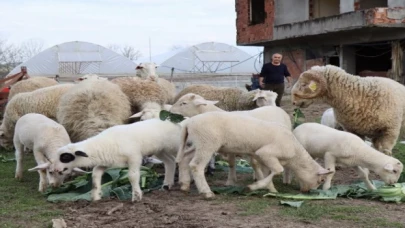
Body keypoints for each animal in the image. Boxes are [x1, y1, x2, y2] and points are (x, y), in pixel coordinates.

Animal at [53, 118, 181, 202]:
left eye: (65, 157)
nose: (56, 170)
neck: (104, 144)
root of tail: (175, 123)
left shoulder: (134, 157)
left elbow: (132, 176)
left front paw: (136, 196)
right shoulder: (107, 163)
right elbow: (95, 174)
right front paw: (96, 196)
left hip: (175, 145)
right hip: (161, 149)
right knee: (170, 161)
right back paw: (167, 184)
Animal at [177, 111, 332, 199]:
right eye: (321, 180)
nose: (307, 192)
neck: (295, 154)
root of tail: (189, 122)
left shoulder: (260, 156)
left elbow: (263, 171)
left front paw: (270, 189)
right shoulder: (267, 153)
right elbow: (278, 170)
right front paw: (253, 187)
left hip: (197, 144)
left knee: (184, 160)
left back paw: (184, 185)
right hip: (207, 144)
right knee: (196, 166)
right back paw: (206, 192)